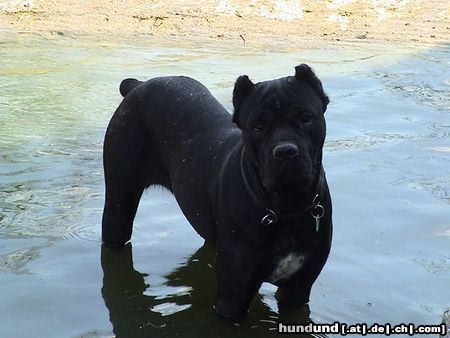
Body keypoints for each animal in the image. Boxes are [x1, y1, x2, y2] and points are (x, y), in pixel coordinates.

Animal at [103, 64, 332, 320]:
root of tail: (139, 85)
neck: (285, 206)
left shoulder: (298, 289)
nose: (285, 152)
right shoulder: (233, 295)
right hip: (118, 203)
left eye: (306, 118)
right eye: (258, 127)